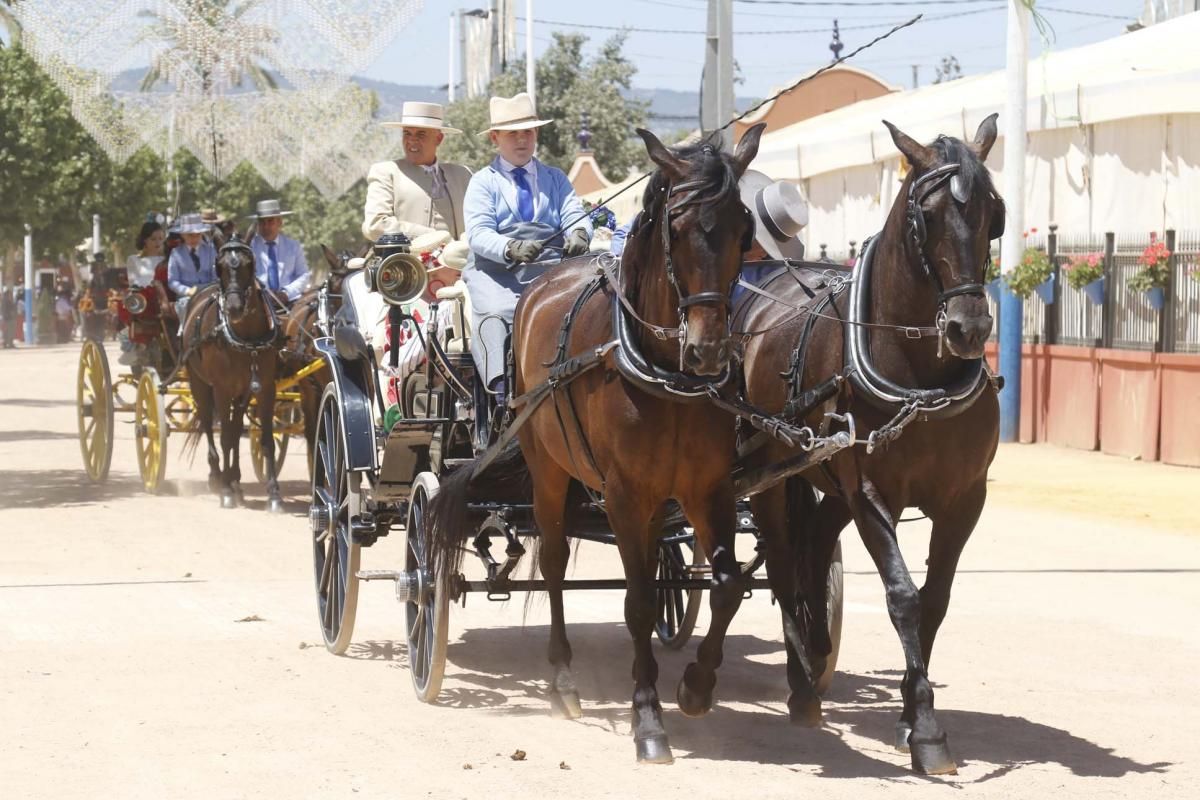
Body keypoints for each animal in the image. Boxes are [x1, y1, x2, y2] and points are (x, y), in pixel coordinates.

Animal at [180, 231, 285, 513]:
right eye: (220, 265)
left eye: (250, 264)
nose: (235, 308)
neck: (246, 337)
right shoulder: (222, 389)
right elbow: (225, 437)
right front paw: (225, 491)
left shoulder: (265, 388)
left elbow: (266, 440)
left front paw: (274, 494)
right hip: (199, 384)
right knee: (210, 425)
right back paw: (219, 478)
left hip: (242, 392)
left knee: (237, 428)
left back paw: (235, 481)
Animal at [432, 125, 763, 762]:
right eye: (677, 228)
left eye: (745, 229)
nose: (708, 351)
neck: (665, 374)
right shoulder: (625, 494)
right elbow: (636, 602)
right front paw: (648, 718)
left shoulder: (708, 489)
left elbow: (728, 585)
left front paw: (696, 686)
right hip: (548, 470)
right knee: (555, 564)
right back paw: (562, 680)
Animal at [739, 115, 1003, 772]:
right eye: (926, 214)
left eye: (994, 212)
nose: (968, 328)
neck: (921, 376)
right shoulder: (872, 494)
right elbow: (903, 596)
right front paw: (928, 729)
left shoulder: (965, 500)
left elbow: (935, 600)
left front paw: (912, 709)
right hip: (771, 478)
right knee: (782, 562)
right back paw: (802, 686)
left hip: (829, 482)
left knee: (812, 547)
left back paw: (813, 654)